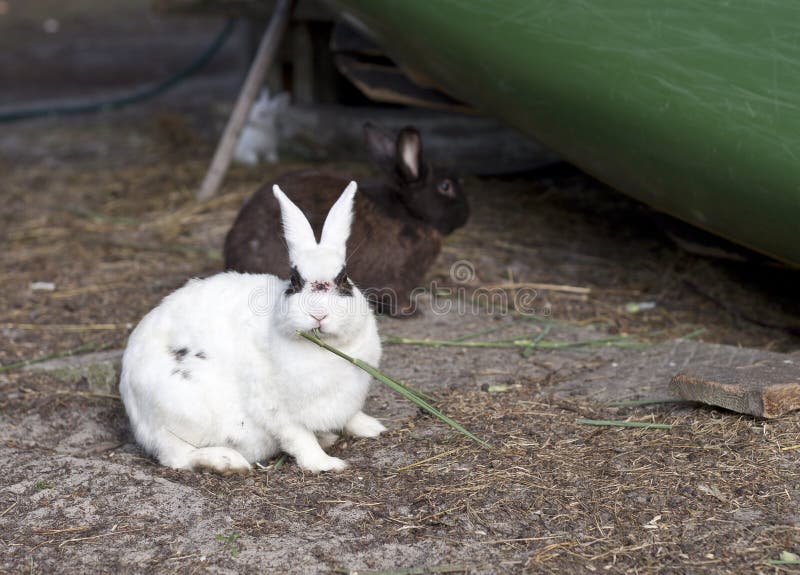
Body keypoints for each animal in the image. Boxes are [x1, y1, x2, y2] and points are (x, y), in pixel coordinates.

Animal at [119, 182, 388, 474]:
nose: (318, 314)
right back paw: (226, 461)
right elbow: (299, 438)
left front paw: (373, 427)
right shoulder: (276, 409)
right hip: (179, 411)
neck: (325, 349)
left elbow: (351, 417)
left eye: (343, 279)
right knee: (176, 456)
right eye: (295, 281)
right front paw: (326, 464)